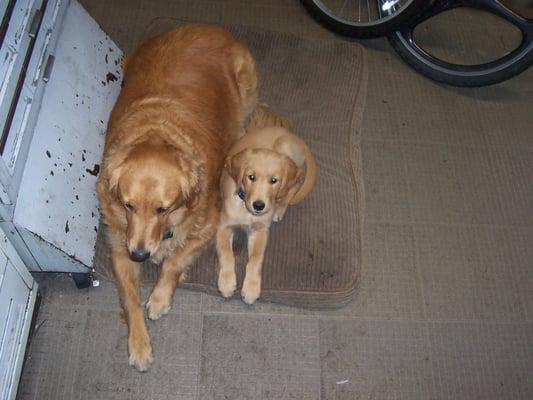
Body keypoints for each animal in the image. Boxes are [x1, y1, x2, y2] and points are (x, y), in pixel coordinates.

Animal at [99, 23, 260, 370]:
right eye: (128, 205)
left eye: (163, 209)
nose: (140, 255)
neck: (156, 132)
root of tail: (208, 27)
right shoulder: (119, 244)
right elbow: (130, 298)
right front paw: (139, 344)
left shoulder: (210, 224)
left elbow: (173, 261)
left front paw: (159, 298)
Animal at [216, 109, 316, 304]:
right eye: (251, 177)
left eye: (273, 180)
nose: (259, 206)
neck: (246, 210)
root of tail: (294, 137)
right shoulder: (224, 226)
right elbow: (227, 252)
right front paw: (226, 282)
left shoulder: (261, 230)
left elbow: (256, 258)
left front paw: (251, 288)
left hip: (286, 150)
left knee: (296, 181)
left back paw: (280, 206)